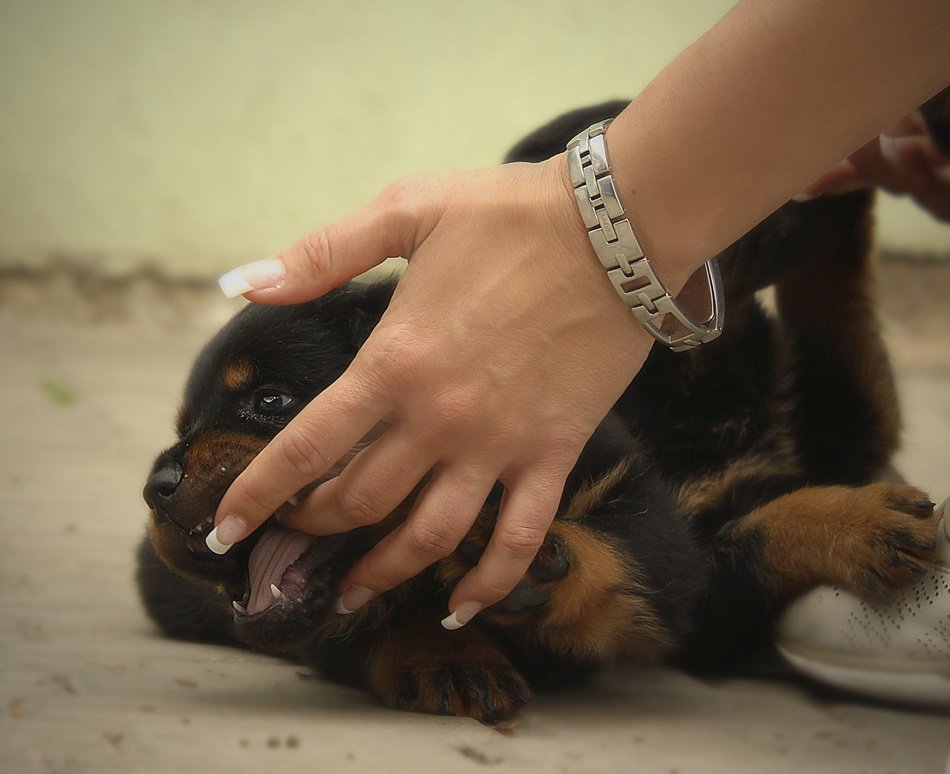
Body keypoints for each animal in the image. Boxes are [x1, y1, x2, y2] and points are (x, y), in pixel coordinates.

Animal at [139, 101, 944, 728]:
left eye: (271, 401)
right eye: (185, 426)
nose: (158, 485)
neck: (689, 388)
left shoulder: (676, 551)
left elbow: (694, 538)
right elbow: (379, 619)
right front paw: (447, 651)